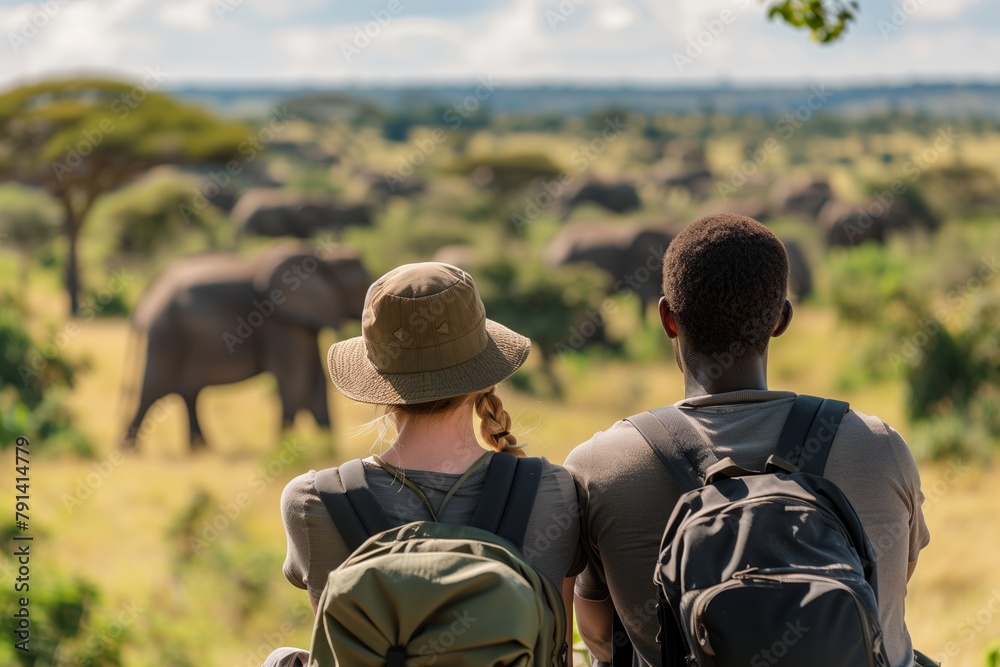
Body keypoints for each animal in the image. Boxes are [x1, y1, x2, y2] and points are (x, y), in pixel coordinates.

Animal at [121, 243, 372, 452]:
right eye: (363, 286)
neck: (320, 257)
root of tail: (144, 303)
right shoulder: (280, 321)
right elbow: (295, 378)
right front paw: (284, 447)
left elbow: (316, 377)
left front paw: (327, 449)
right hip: (165, 338)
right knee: (151, 391)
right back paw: (129, 453)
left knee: (188, 394)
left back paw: (201, 450)